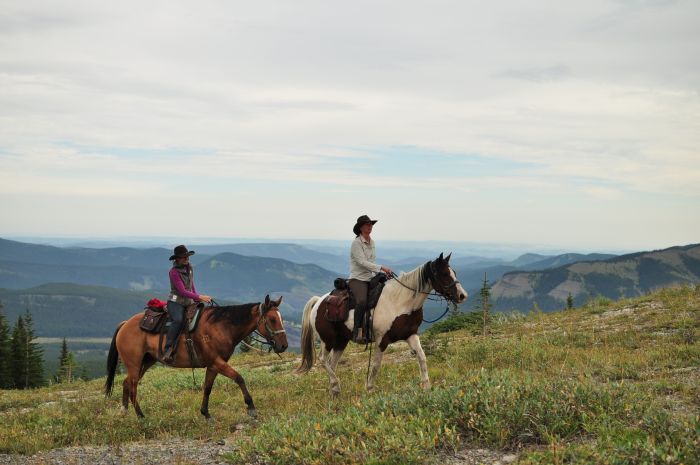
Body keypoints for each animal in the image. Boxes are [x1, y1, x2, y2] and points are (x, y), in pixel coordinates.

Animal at [103, 296, 288, 418]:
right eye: (272, 319)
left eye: (281, 318)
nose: (284, 346)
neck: (221, 327)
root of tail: (125, 324)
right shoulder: (218, 362)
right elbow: (239, 378)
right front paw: (251, 407)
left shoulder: (213, 365)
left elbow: (207, 388)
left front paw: (205, 413)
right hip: (134, 363)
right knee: (133, 386)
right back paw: (141, 416)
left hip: (146, 361)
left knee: (127, 383)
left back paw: (124, 411)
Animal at [298, 254, 468, 396]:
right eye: (444, 274)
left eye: (454, 272)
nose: (462, 296)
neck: (401, 302)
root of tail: (319, 300)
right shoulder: (381, 340)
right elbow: (375, 366)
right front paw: (370, 389)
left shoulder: (411, 335)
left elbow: (422, 357)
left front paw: (426, 386)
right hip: (328, 340)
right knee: (323, 360)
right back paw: (335, 385)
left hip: (341, 341)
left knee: (332, 364)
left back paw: (334, 391)